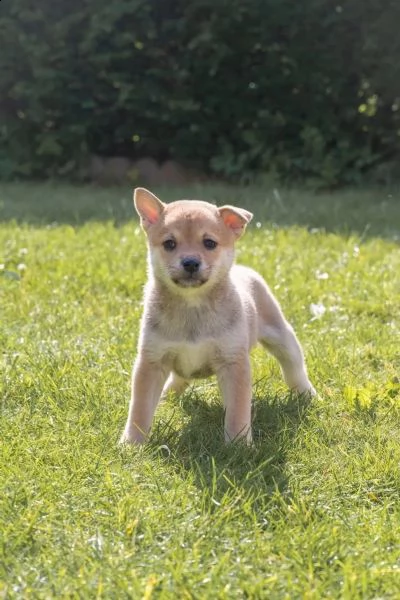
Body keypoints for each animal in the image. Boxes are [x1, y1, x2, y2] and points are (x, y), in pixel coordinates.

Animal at [119, 188, 316, 446]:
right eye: (170, 243)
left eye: (209, 243)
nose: (190, 262)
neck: (193, 306)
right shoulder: (152, 361)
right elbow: (140, 409)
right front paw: (132, 443)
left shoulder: (233, 363)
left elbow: (237, 410)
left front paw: (239, 444)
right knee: (178, 379)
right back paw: (167, 396)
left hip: (282, 337)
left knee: (294, 368)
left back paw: (306, 393)